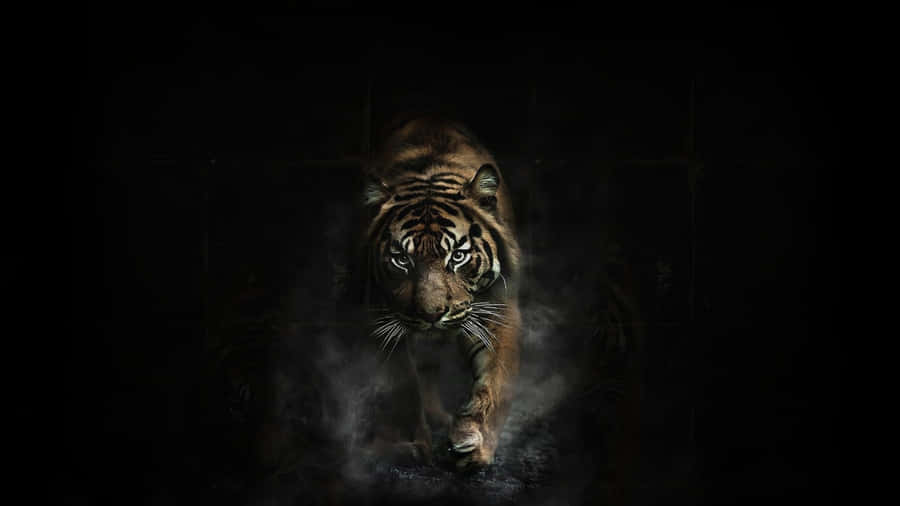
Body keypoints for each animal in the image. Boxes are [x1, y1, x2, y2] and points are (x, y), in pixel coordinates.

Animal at [360, 115, 521, 470]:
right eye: (401, 259)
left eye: (458, 256)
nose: (431, 314)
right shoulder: (380, 319)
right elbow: (402, 384)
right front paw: (410, 444)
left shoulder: (497, 308)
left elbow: (494, 381)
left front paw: (474, 443)